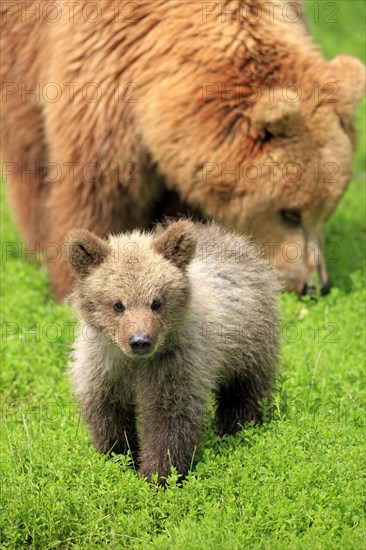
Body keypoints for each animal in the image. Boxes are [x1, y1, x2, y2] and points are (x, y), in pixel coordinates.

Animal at [64, 222, 278, 486]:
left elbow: (169, 420)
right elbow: (108, 414)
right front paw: (119, 459)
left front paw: (157, 476)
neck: (134, 363)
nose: (140, 341)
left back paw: (235, 428)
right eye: (118, 304)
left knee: (245, 388)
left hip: (250, 344)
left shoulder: (174, 364)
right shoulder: (103, 366)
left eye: (156, 302)